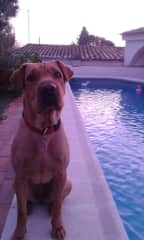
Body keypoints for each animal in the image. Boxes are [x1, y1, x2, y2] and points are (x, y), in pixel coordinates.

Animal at [10, 61, 73, 239]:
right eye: (30, 77)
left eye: (57, 74)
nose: (48, 88)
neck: (43, 131)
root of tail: (41, 199)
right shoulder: (20, 175)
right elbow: (21, 211)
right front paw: (19, 232)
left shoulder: (61, 173)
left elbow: (58, 205)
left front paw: (57, 227)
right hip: (17, 184)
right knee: (24, 201)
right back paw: (30, 204)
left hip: (67, 183)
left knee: (56, 201)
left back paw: (50, 206)